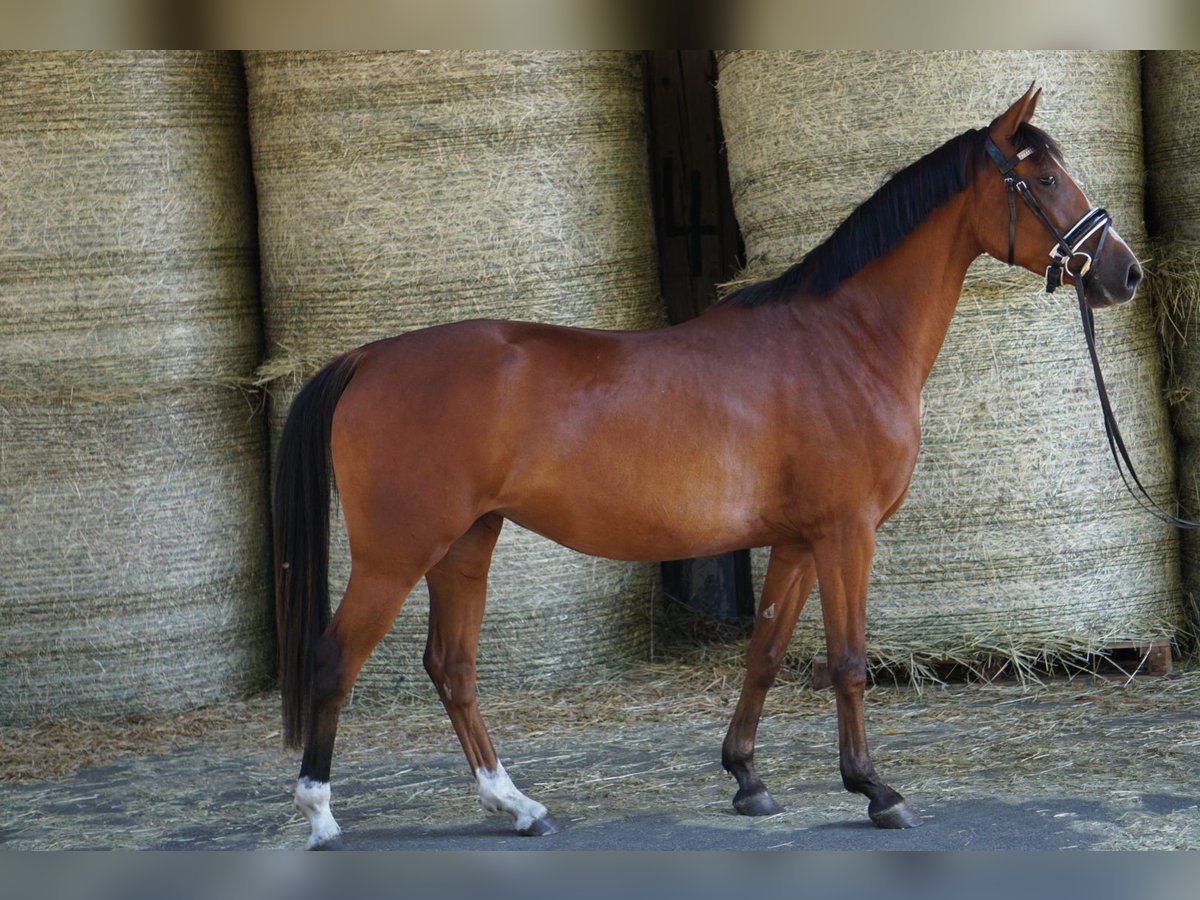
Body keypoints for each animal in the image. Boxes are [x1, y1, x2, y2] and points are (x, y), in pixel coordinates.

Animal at [274, 82, 1142, 844]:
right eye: (1043, 178)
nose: (1123, 272)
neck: (846, 340)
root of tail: (369, 357)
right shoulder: (846, 534)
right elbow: (847, 662)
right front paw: (874, 789)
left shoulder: (797, 540)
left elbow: (764, 653)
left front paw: (747, 778)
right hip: (397, 553)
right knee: (335, 658)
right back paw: (319, 815)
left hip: (466, 544)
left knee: (452, 668)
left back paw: (516, 806)